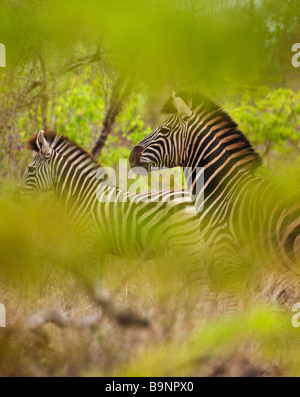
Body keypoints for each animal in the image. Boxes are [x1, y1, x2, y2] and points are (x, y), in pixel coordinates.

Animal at [22, 130, 203, 282]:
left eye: (30, 170)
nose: (19, 195)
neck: (85, 196)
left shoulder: (90, 247)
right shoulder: (99, 250)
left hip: (188, 245)